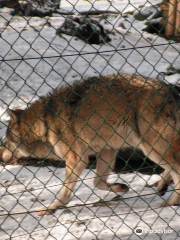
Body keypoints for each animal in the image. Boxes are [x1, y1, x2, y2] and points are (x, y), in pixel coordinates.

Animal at [1, 73, 180, 216]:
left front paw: (52, 208)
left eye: (7, 140)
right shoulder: (107, 150)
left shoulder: (76, 159)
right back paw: (162, 186)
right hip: (153, 149)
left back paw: (172, 202)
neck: (44, 123)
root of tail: (171, 90)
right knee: (171, 168)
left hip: (151, 149)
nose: (1, 156)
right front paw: (120, 187)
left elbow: (65, 193)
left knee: (176, 169)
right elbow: (97, 182)